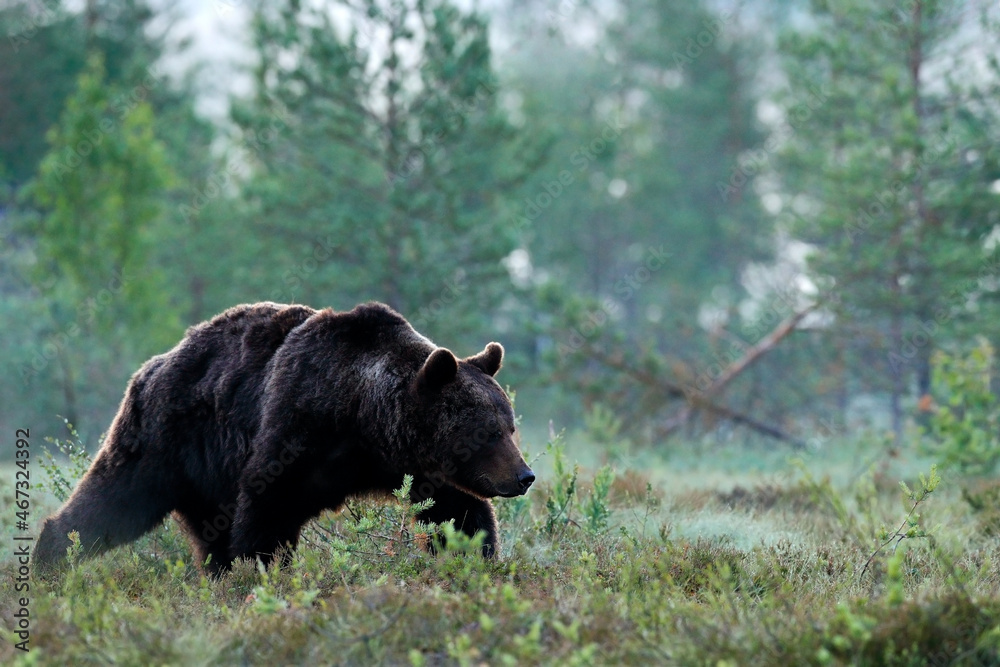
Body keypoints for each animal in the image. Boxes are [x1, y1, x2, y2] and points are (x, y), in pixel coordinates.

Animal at [35, 301, 535, 574]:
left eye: (511, 426)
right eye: (489, 432)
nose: (524, 476)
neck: (365, 417)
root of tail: (150, 366)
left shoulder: (415, 467)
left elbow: (456, 514)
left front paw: (475, 558)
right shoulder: (297, 427)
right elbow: (267, 512)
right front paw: (265, 572)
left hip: (204, 476)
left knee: (208, 533)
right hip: (165, 439)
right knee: (113, 499)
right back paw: (49, 561)